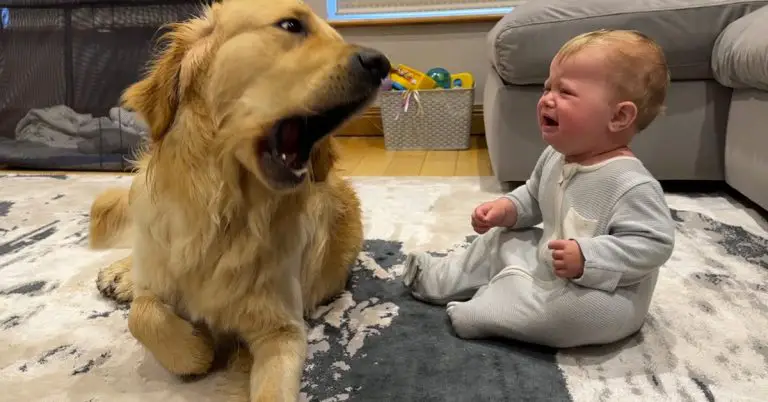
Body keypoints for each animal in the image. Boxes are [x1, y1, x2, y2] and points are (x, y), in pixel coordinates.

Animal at [89, 0, 390, 398]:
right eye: (291, 25)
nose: (381, 63)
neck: (225, 212)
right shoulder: (162, 276)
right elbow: (143, 314)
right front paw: (196, 350)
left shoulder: (282, 330)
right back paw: (120, 273)